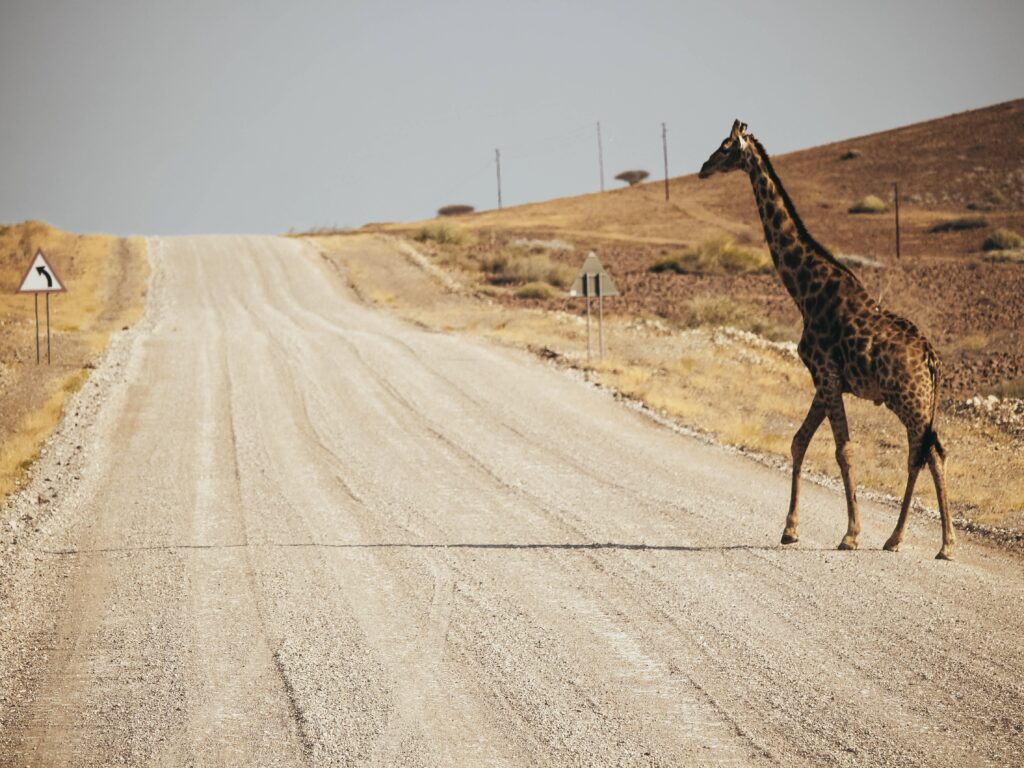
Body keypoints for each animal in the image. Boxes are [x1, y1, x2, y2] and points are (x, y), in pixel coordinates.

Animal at [698, 120, 955, 560]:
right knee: (921, 454)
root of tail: (932, 358)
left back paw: (944, 545)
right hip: (914, 403)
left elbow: (843, 450)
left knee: (930, 452)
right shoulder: (824, 380)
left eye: (726, 146)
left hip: (910, 401)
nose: (702, 167)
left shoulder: (828, 376)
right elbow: (799, 441)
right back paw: (897, 539)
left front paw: (850, 534)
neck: (804, 290)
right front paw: (790, 529)